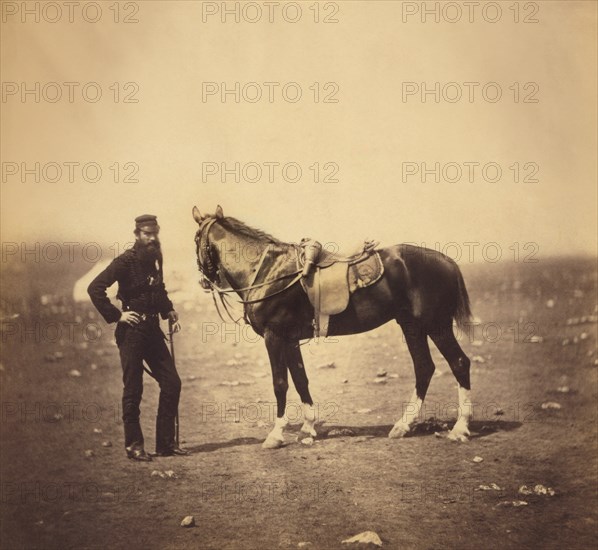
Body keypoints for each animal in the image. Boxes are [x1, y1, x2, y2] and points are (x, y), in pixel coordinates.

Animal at [192, 206, 474, 448]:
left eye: (196, 239)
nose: (205, 281)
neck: (267, 271)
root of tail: (447, 261)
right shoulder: (290, 339)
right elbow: (301, 380)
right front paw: (308, 427)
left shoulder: (274, 337)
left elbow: (280, 383)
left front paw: (276, 435)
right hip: (412, 326)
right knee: (424, 368)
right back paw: (403, 426)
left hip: (436, 325)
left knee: (459, 363)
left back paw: (460, 428)